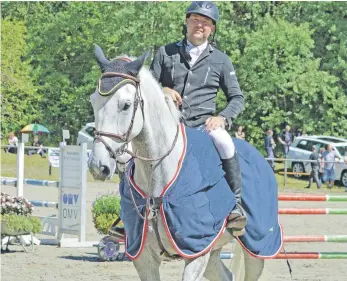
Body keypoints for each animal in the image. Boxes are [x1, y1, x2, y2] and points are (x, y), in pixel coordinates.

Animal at [88, 46, 266, 280]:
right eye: (93, 101)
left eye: (125, 105)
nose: (98, 166)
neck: (157, 173)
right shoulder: (144, 257)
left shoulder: (196, 250)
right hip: (214, 250)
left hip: (257, 247)